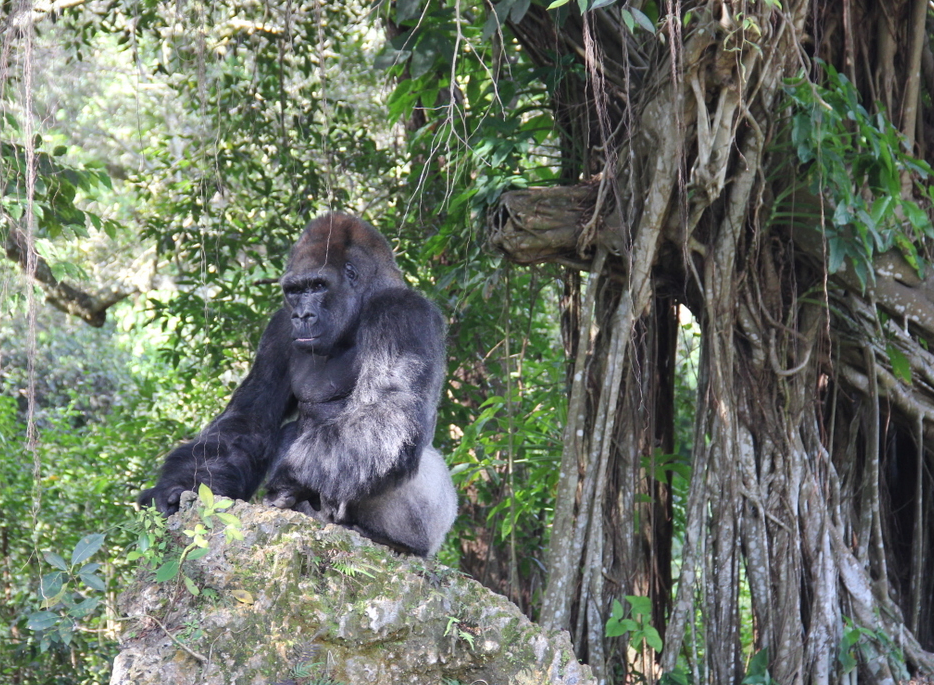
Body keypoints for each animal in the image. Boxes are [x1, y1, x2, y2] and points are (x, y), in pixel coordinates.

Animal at [139, 214, 458, 556]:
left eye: (318, 286)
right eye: (294, 290)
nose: (302, 315)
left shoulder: (402, 311)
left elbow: (388, 410)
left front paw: (286, 480)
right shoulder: (280, 326)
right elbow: (248, 420)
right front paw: (174, 488)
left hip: (431, 529)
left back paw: (389, 540)